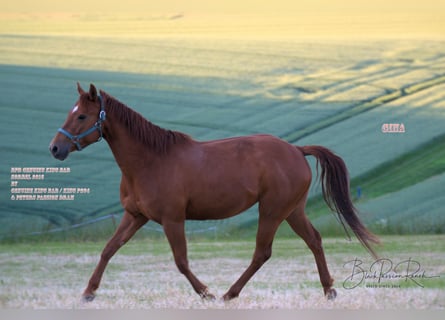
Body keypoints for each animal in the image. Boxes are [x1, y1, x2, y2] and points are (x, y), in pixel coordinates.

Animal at [49, 83, 378, 302]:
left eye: (81, 116)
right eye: (70, 112)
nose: (55, 148)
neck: (150, 161)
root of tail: (297, 149)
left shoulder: (172, 220)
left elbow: (181, 261)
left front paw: (205, 292)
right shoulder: (135, 216)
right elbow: (108, 249)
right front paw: (88, 292)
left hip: (272, 211)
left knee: (262, 252)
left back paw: (229, 294)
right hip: (292, 211)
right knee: (314, 241)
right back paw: (328, 290)